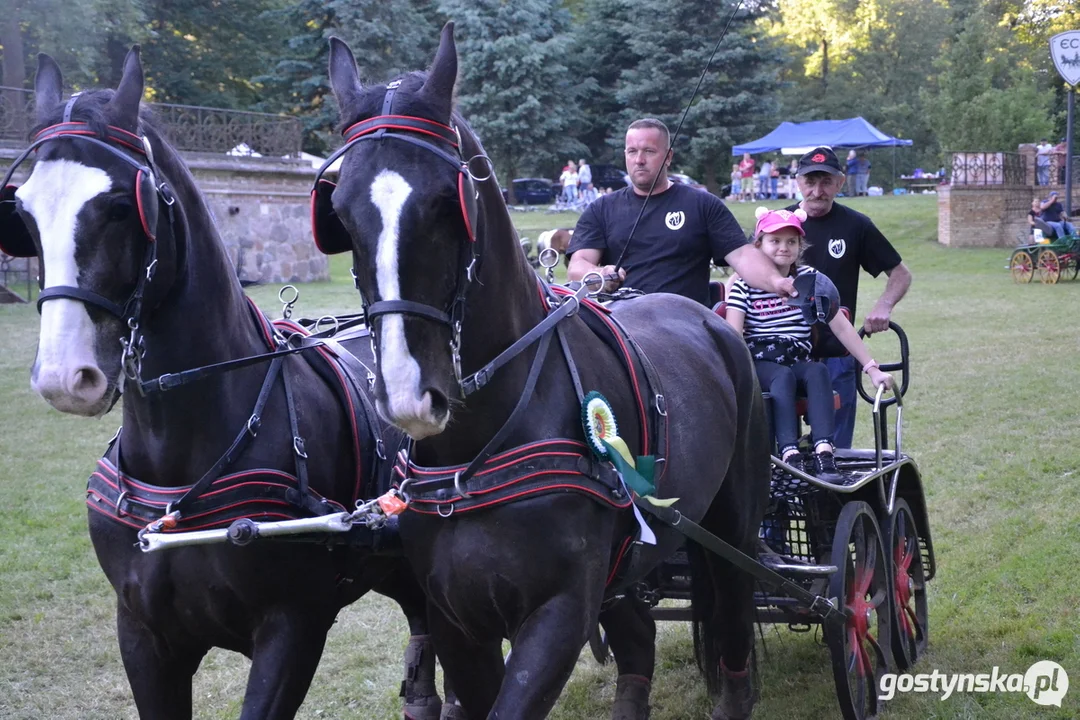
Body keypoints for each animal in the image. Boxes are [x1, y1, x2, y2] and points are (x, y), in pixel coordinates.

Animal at [319, 23, 777, 720]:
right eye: (340, 214)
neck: (479, 449)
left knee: (732, 621)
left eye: (445, 203)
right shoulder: (455, 622)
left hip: (732, 528)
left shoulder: (559, 616)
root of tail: (708, 319)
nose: (406, 395)